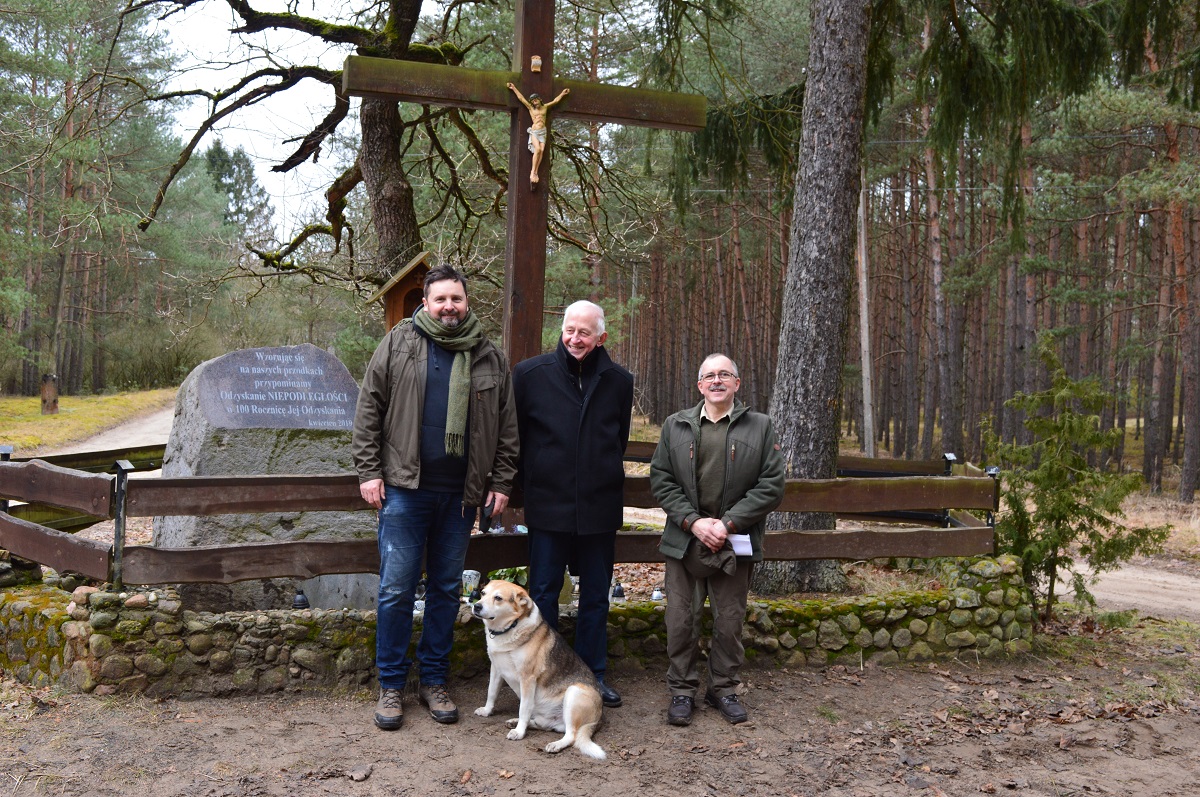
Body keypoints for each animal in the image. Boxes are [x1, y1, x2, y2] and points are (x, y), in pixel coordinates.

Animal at [470, 578, 604, 758]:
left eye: (498, 598)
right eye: (483, 593)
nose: (476, 606)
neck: (511, 627)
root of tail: (598, 719)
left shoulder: (527, 678)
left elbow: (523, 708)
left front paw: (519, 732)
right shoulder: (496, 669)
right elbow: (491, 693)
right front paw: (487, 711)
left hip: (574, 692)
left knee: (571, 736)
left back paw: (555, 744)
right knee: (545, 726)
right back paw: (516, 722)